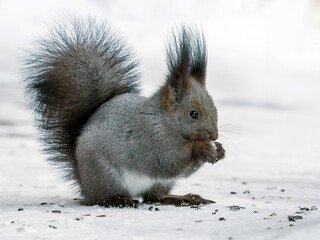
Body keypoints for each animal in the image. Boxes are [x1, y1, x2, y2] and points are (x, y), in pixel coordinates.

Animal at [23, 17, 225, 207]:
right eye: (193, 114)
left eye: (216, 109)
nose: (214, 136)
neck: (164, 122)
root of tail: (83, 183)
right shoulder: (148, 141)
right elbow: (166, 161)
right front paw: (201, 148)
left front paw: (219, 151)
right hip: (104, 175)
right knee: (101, 199)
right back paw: (117, 200)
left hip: (159, 183)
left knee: (153, 197)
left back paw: (182, 198)